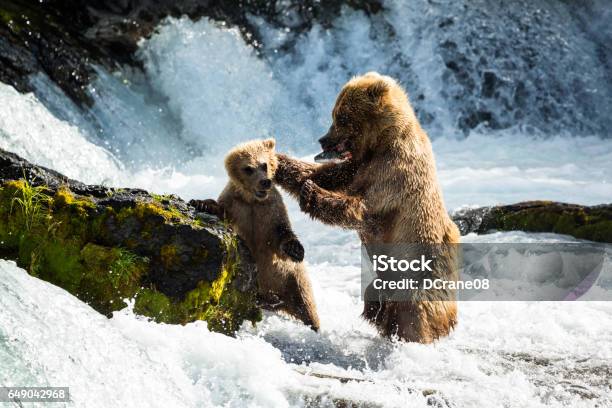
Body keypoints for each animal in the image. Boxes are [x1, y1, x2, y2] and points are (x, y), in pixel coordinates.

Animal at [191, 139, 320, 330]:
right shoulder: (235, 206)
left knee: (307, 308)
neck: (252, 200)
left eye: (264, 164)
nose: (264, 182)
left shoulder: (271, 211)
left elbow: (281, 234)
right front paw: (201, 203)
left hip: (293, 280)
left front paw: (295, 249)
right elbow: (220, 209)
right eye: (248, 168)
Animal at [274, 71, 460, 342]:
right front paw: (278, 162)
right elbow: (324, 173)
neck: (380, 143)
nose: (322, 140)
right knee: (376, 299)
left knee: (414, 314)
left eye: (342, 117)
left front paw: (311, 193)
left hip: (419, 278)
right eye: (334, 113)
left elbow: (362, 209)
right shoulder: (358, 168)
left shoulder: (394, 174)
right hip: (382, 285)